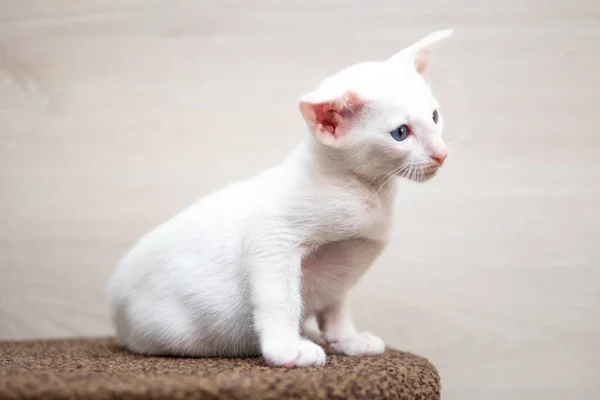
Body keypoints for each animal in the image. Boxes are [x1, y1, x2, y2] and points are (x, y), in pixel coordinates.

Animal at [108, 30, 452, 368]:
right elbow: (281, 298)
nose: (442, 153)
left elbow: (336, 306)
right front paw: (286, 349)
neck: (369, 191)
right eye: (401, 133)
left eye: (435, 116)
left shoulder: (342, 269)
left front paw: (347, 340)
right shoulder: (272, 237)